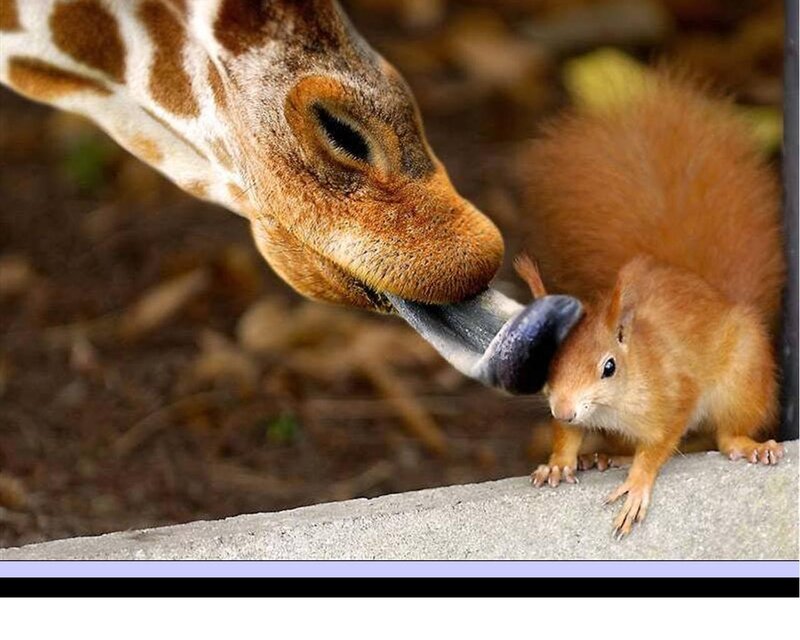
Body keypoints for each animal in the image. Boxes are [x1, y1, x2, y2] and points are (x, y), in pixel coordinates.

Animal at [514, 70, 786, 538]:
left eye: (609, 367)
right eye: (545, 360)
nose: (565, 408)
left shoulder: (674, 396)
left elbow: (660, 445)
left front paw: (637, 483)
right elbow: (565, 435)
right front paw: (558, 463)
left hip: (742, 381)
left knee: (727, 435)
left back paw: (749, 447)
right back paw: (608, 455)